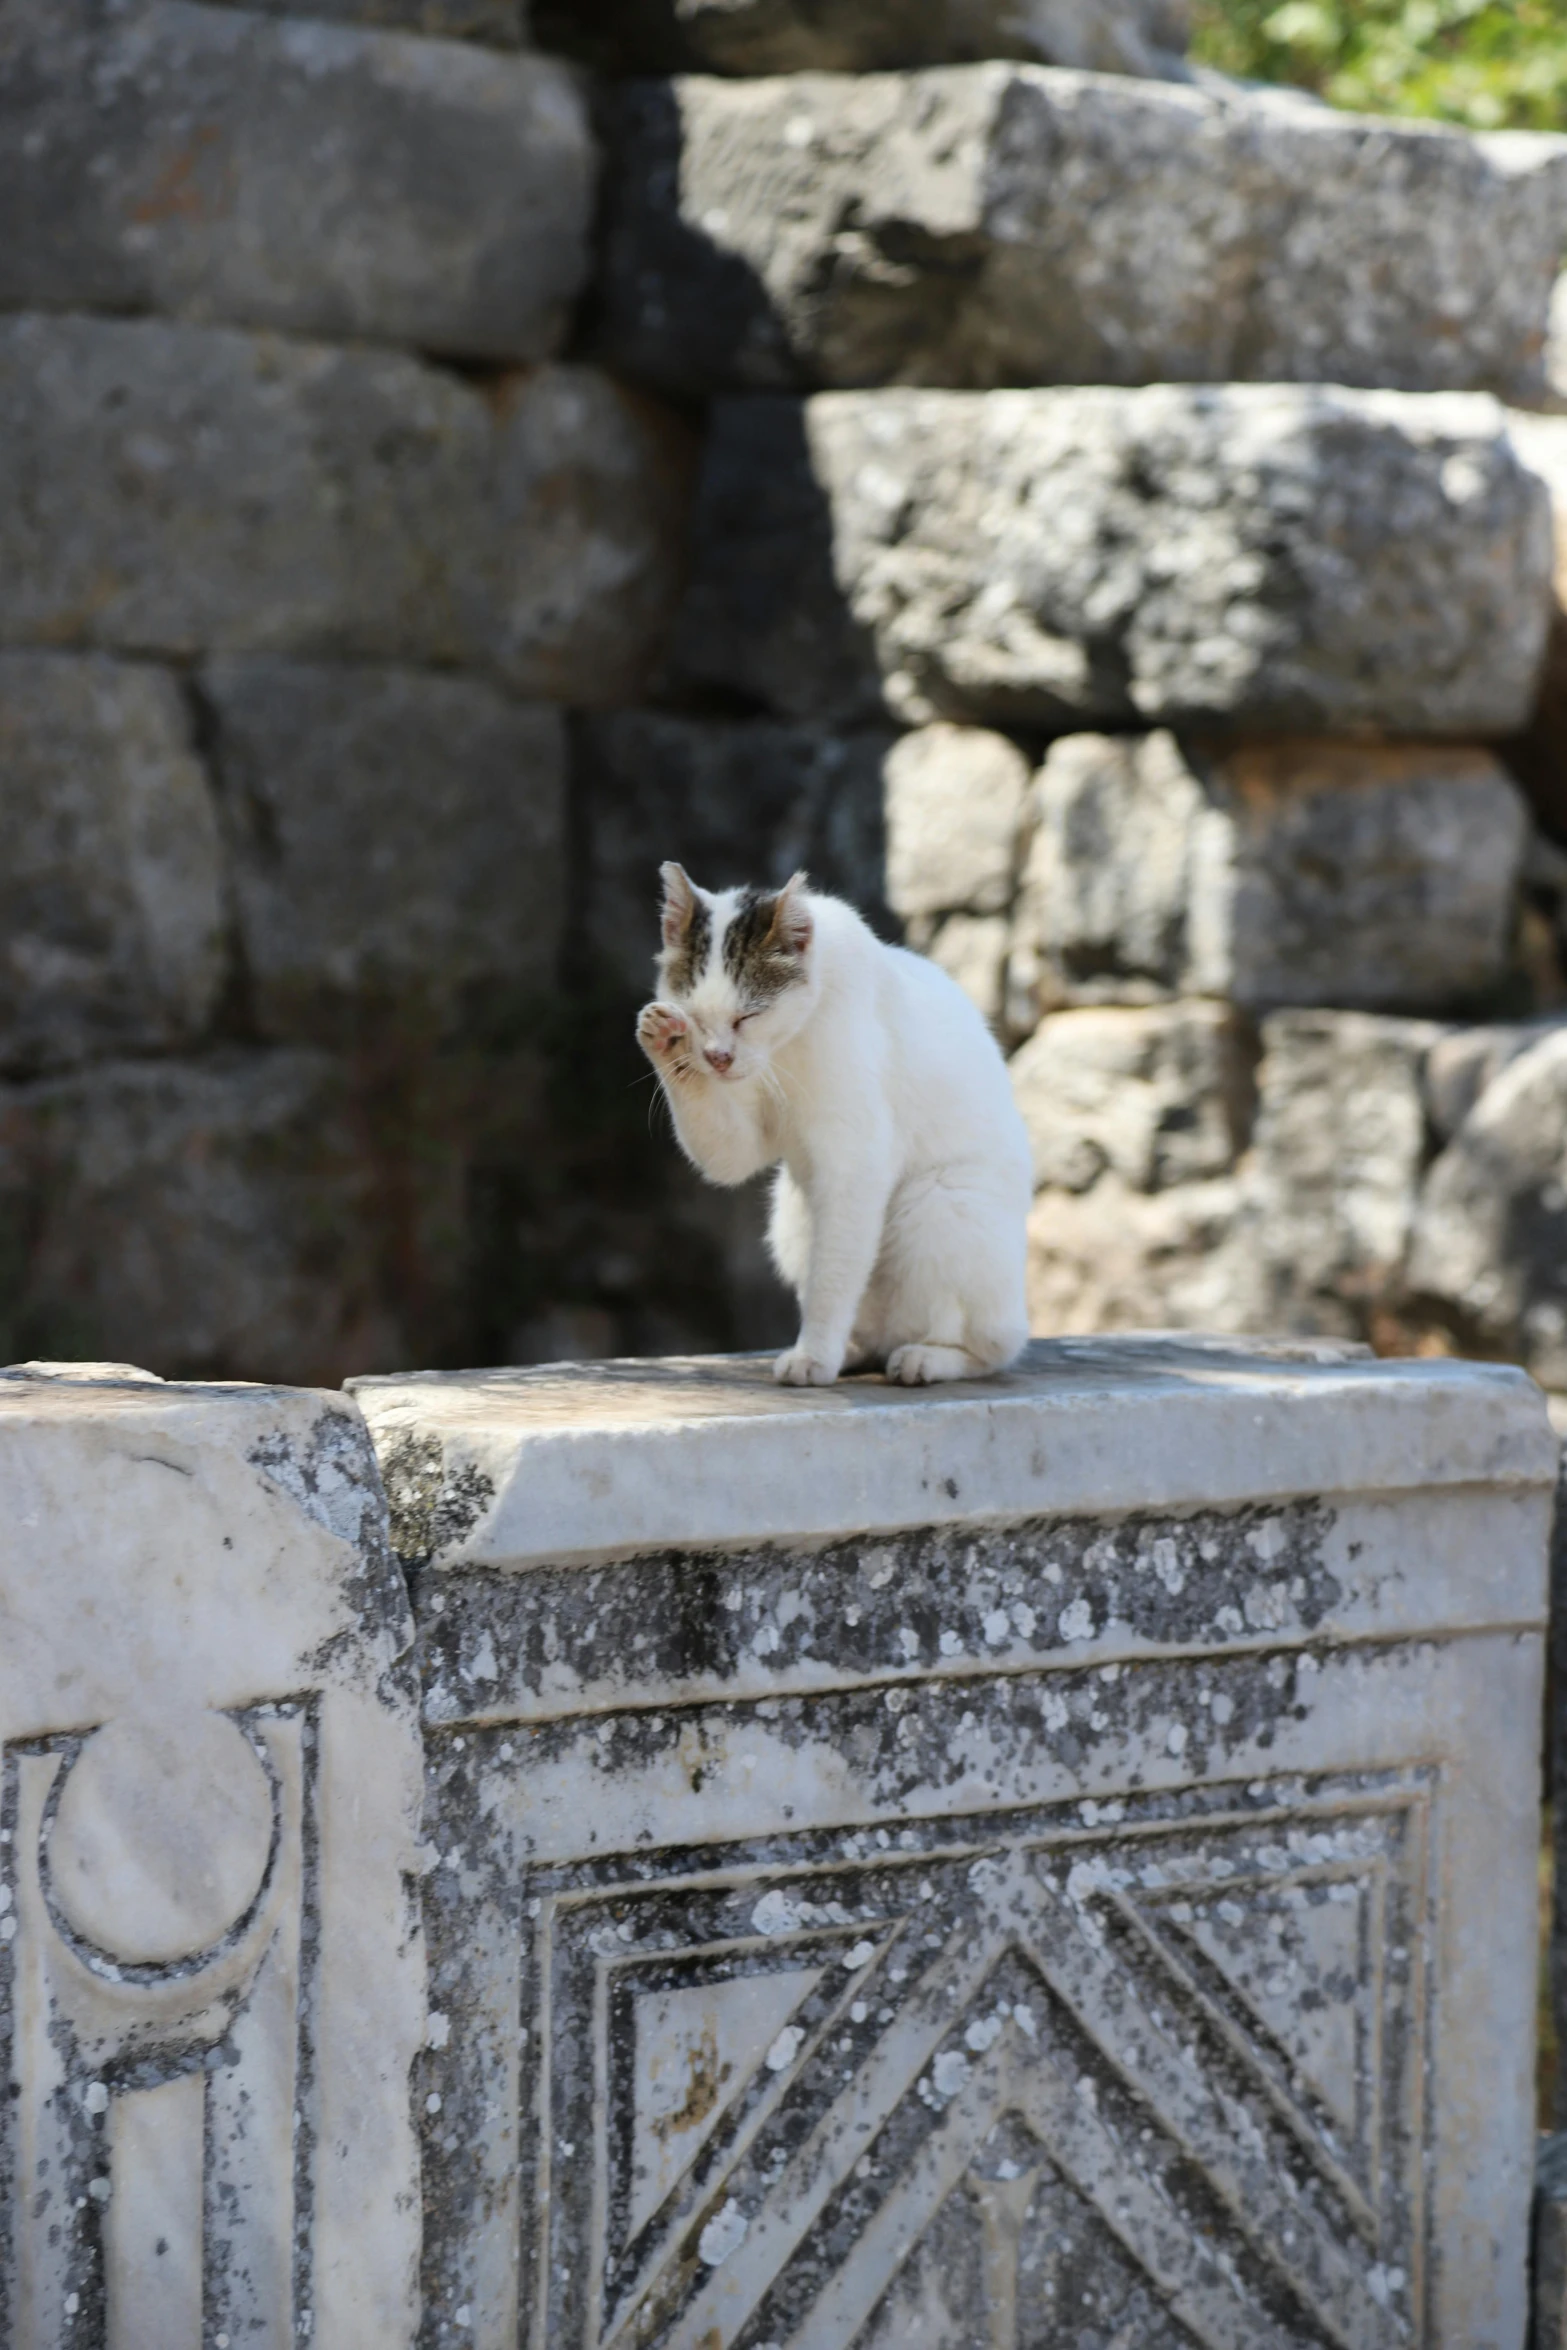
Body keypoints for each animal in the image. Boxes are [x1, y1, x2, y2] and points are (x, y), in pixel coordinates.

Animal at [629, 869, 1033, 1381]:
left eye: (748, 1016)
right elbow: (726, 1152)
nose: (718, 1057)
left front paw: (814, 1356)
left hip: (939, 1206)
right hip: (791, 1218)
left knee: (995, 1344)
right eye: (697, 1018)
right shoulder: (741, 1140)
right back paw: (856, 1349)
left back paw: (927, 1357)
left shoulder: (855, 1164)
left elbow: (833, 1276)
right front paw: (666, 1040)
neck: (788, 1045)